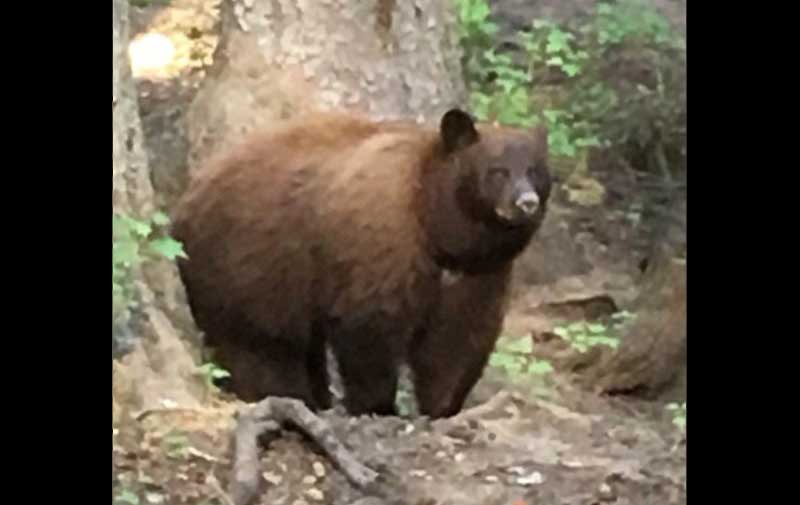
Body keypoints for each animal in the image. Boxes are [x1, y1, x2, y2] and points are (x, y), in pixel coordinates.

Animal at [170, 108, 550, 417]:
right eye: (498, 171)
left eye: (534, 171)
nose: (526, 203)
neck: (435, 226)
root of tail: (186, 200)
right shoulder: (381, 244)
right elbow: (370, 326)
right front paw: (379, 405)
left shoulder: (478, 273)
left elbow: (458, 338)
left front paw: (442, 405)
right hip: (248, 265)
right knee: (260, 344)